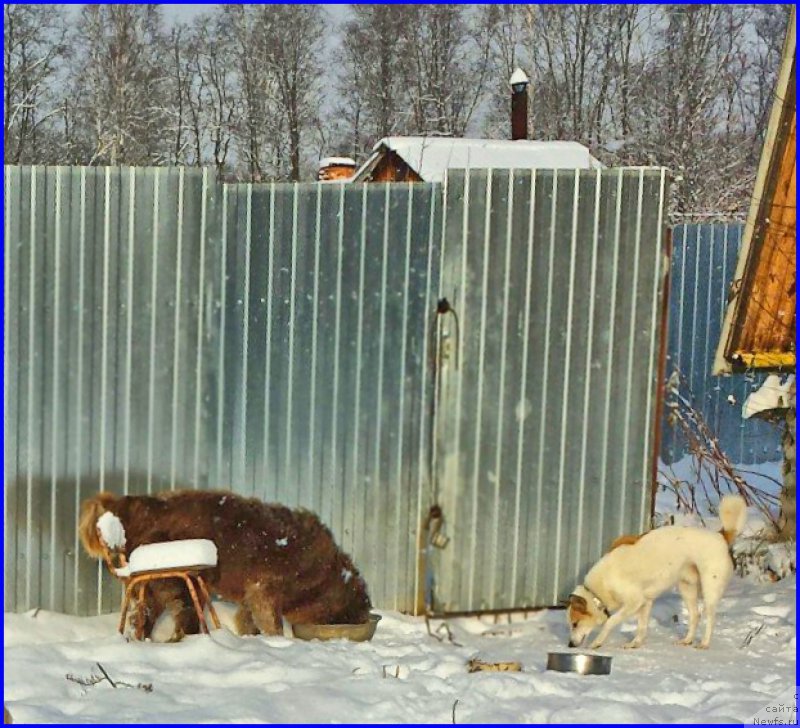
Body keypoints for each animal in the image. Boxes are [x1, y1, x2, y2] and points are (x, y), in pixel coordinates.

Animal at [78, 492, 372, 640]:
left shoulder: (252, 596)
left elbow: (248, 620)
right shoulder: (265, 590)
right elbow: (272, 623)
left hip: (152, 586)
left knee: (141, 619)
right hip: (179, 582)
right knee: (183, 620)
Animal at [564, 492, 748, 652]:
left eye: (575, 624)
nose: (570, 645)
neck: (599, 589)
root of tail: (720, 536)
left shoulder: (635, 601)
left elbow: (611, 621)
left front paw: (597, 642)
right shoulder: (645, 603)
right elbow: (641, 626)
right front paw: (635, 644)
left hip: (710, 588)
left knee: (710, 618)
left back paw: (704, 643)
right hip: (686, 587)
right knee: (695, 615)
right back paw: (687, 640)